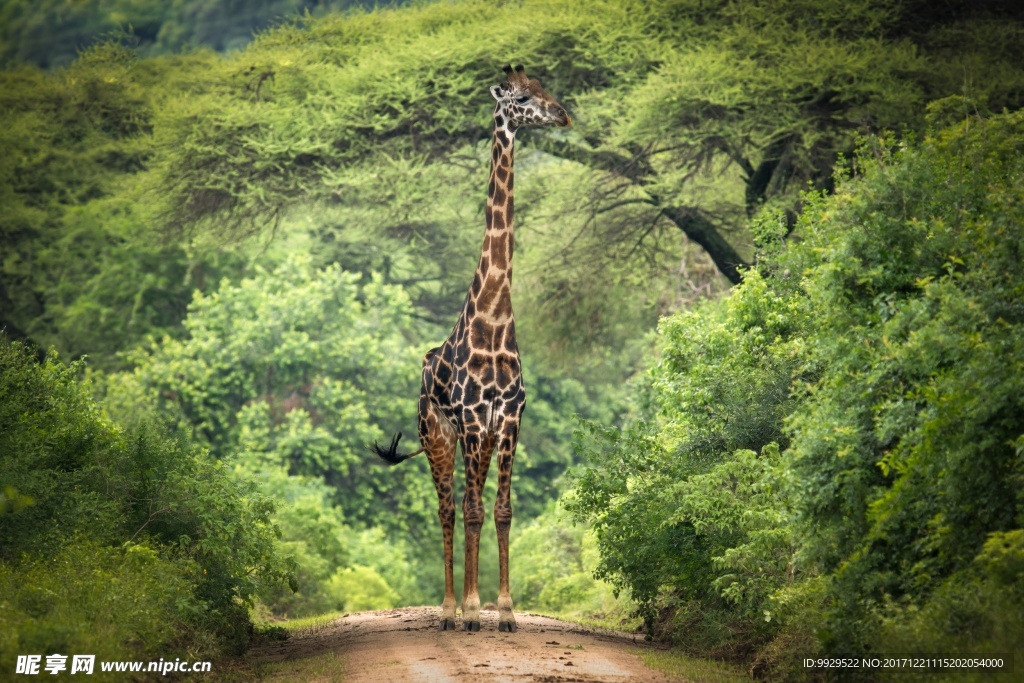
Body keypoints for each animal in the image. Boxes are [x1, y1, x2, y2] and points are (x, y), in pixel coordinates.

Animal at [372, 65, 573, 634]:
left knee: (468, 504)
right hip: (438, 436)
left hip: (472, 438)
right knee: (448, 507)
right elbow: (472, 509)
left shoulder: (508, 418)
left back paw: (466, 607)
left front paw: (503, 610)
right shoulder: (471, 420)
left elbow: (500, 510)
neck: (495, 320)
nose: (562, 115)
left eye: (545, 87)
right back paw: (449, 610)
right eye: (522, 97)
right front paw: (475, 609)